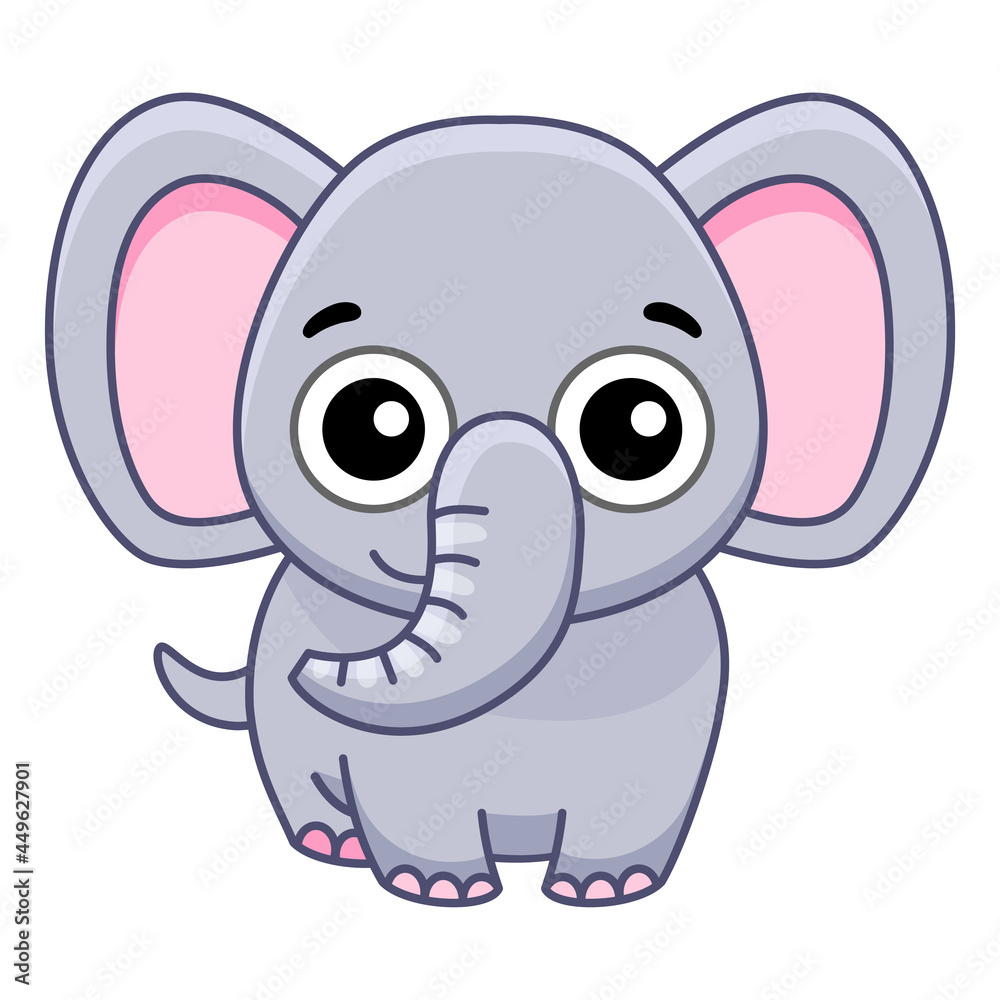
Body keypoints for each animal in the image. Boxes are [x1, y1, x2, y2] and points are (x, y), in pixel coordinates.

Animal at [47, 92, 953, 906]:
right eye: (368, 428)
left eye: (639, 423)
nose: (311, 668)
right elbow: (406, 791)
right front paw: (441, 889)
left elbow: (643, 798)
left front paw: (607, 888)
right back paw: (332, 843)